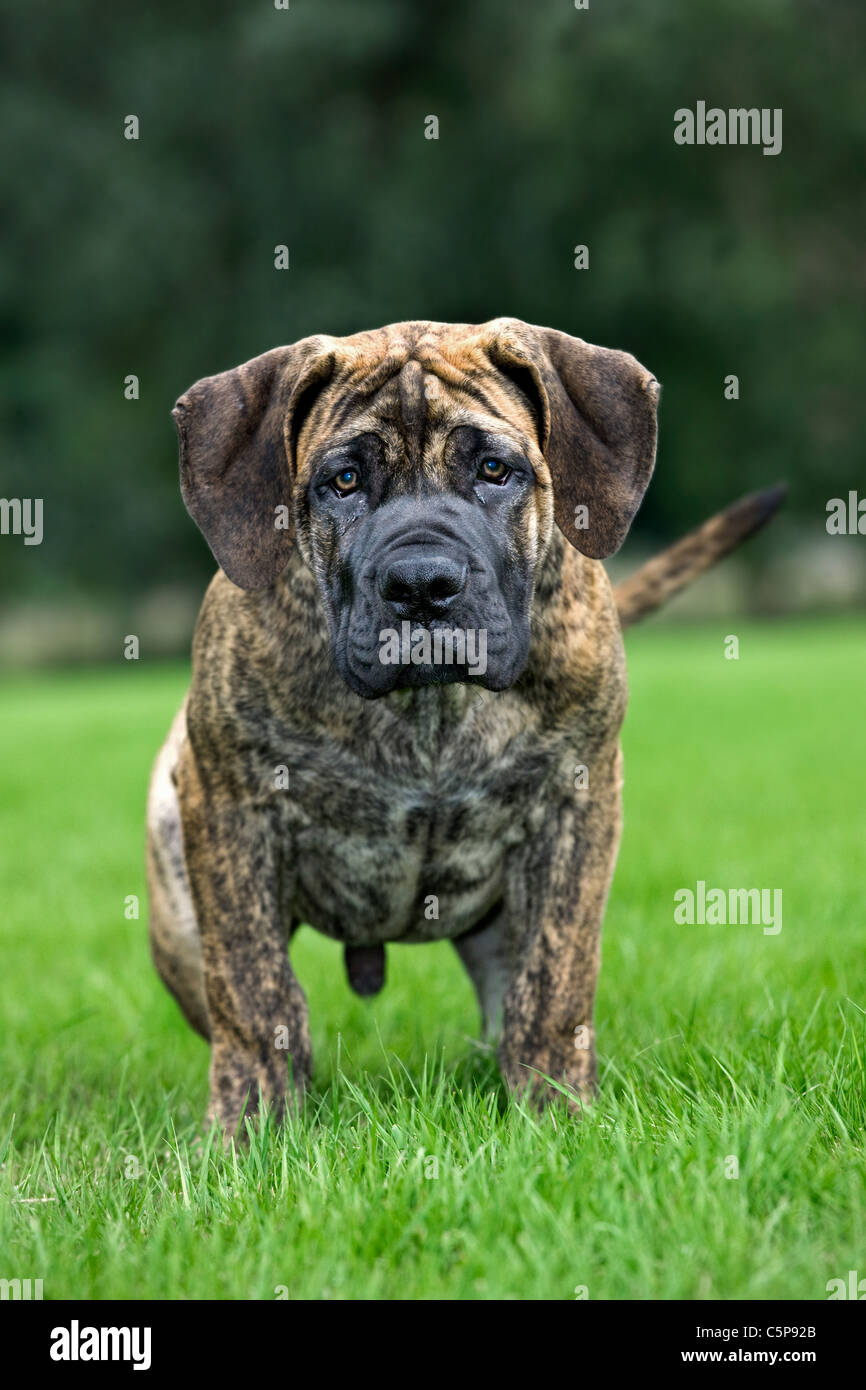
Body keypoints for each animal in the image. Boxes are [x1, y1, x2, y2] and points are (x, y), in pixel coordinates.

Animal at [145, 319, 783, 1134]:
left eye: (493, 469)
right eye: (343, 481)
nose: (422, 585)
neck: (431, 709)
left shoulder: (576, 805)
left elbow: (554, 981)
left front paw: (556, 1112)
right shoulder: (230, 803)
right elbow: (254, 990)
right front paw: (252, 1129)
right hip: (177, 902)